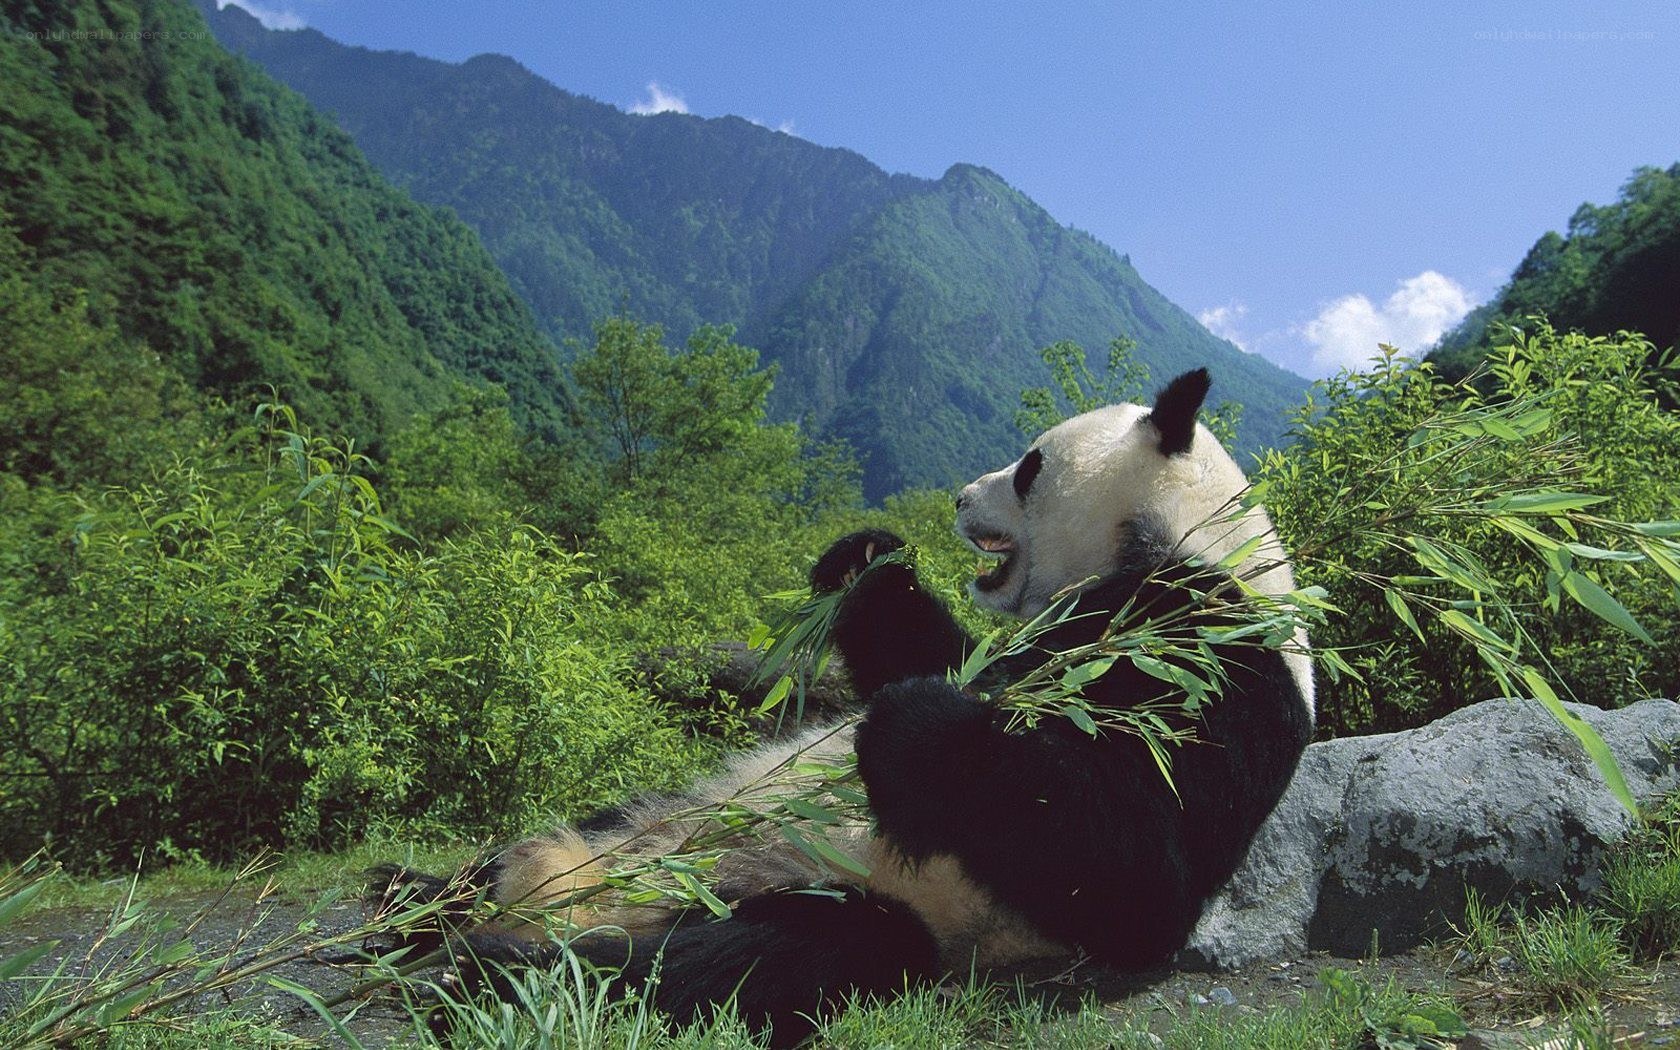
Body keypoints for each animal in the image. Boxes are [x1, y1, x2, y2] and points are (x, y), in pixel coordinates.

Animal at [376, 367, 1314, 1046]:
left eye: (1028, 466)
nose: (959, 498)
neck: (1182, 539)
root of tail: (592, 890)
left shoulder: (1217, 659)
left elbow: (1138, 873)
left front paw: (917, 726)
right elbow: (934, 648)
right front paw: (865, 556)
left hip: (854, 896)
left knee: (758, 957)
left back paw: (492, 970)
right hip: (661, 809)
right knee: (553, 844)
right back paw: (413, 900)